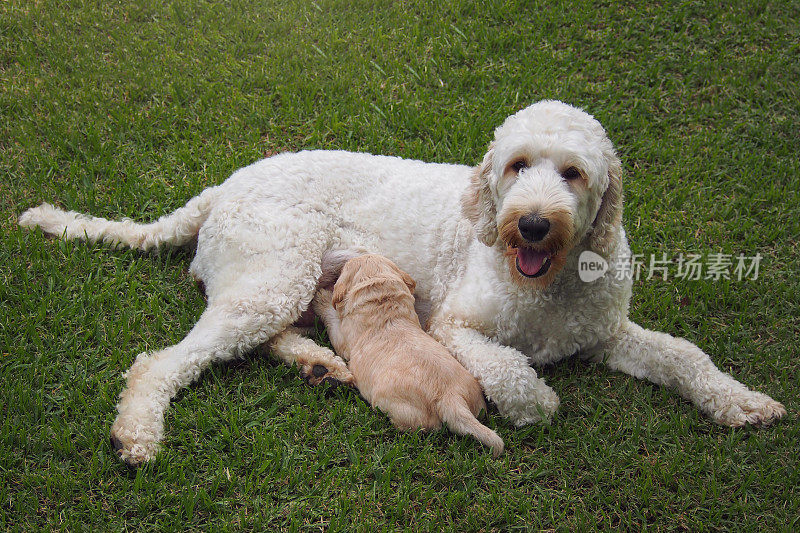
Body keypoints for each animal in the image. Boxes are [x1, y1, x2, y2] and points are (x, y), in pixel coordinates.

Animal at [316, 254, 504, 458]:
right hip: (476, 402)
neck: (384, 305)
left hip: (395, 406)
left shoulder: (343, 342)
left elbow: (332, 320)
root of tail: (450, 397)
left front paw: (321, 297)